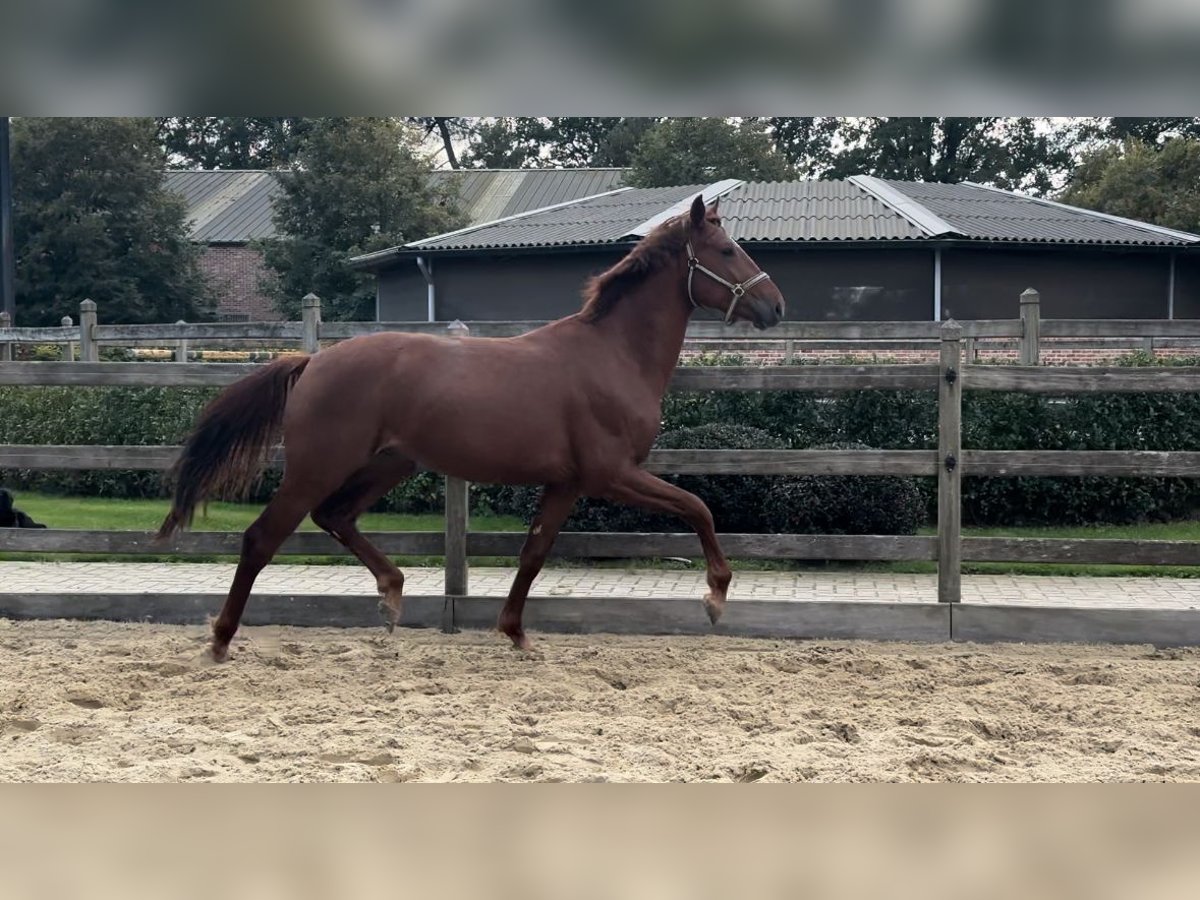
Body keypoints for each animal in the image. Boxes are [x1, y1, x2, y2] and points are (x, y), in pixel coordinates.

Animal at [154, 196, 782, 662]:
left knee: (335, 517)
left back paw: (392, 595)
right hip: (318, 467)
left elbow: (533, 553)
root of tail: (313, 362)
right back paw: (220, 640)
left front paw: (516, 632)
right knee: (264, 537)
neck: (612, 355)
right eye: (726, 250)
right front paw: (716, 597)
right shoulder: (613, 474)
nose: (775, 306)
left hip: (388, 463)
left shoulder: (567, 482)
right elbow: (699, 507)